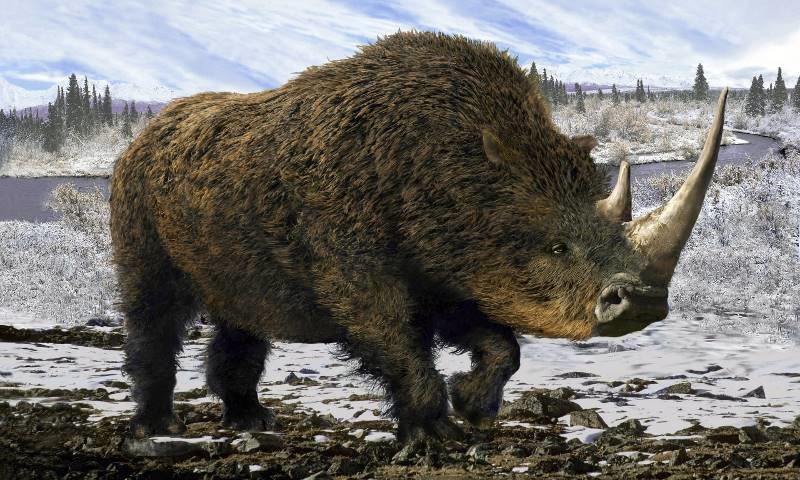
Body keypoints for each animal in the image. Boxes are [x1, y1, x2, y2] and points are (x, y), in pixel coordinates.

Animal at [110, 31, 728, 443]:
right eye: (556, 247)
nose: (642, 303)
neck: (465, 176)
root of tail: (143, 134)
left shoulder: (455, 269)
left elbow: (500, 345)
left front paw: (474, 408)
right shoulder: (357, 268)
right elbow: (398, 342)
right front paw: (436, 434)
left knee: (243, 311)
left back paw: (253, 421)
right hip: (134, 197)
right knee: (154, 307)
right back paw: (155, 428)